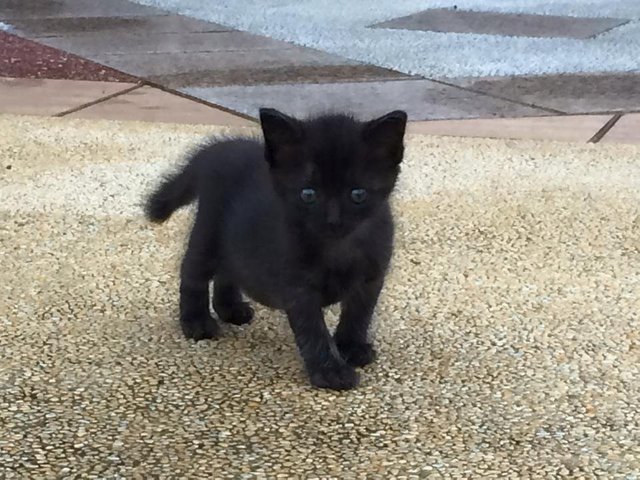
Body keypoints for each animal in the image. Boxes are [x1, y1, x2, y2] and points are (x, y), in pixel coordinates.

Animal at [145, 109, 404, 390]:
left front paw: (351, 347)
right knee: (192, 272)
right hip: (208, 231)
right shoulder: (298, 286)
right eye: (308, 194)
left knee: (230, 267)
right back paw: (197, 322)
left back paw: (231, 308)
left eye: (358, 194)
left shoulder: (372, 277)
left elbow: (359, 313)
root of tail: (217, 150)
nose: (332, 220)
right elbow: (313, 330)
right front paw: (331, 371)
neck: (339, 248)